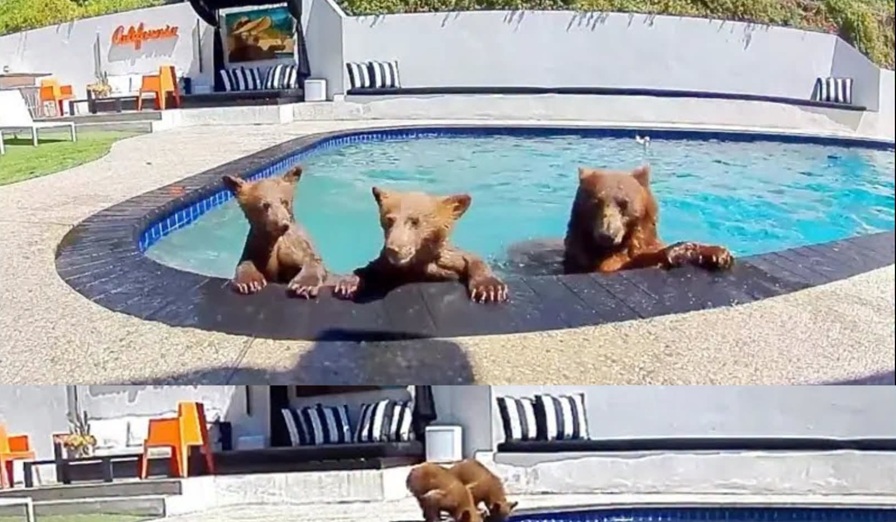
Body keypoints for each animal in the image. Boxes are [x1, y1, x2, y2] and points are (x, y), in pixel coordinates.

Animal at [221, 166, 328, 298]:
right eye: (265, 205)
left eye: (284, 201)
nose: (283, 224)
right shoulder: (256, 245)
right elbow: (246, 261)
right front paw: (249, 282)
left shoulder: (296, 242)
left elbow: (312, 259)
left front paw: (303, 285)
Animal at [333, 187, 508, 304]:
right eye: (389, 220)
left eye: (414, 221)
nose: (393, 249)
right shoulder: (390, 265)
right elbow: (372, 267)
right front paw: (348, 283)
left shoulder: (445, 259)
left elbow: (469, 258)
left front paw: (490, 288)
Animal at [563, 164, 735, 274]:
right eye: (595, 202)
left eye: (624, 203)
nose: (607, 234)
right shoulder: (588, 258)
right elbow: (618, 265)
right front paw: (677, 252)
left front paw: (718, 254)